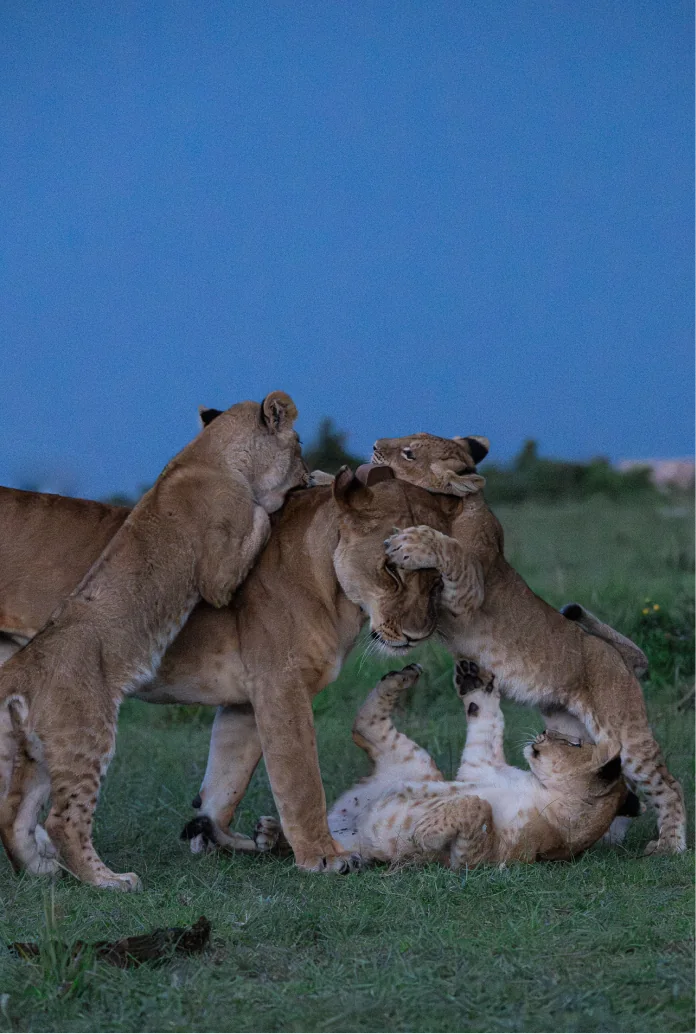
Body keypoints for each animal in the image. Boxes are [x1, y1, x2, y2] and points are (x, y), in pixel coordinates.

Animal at [0, 391, 307, 890]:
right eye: (299, 443)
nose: (309, 470)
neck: (209, 453)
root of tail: (23, 666)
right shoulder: (218, 579)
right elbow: (259, 520)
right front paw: (273, 502)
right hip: (86, 733)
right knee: (63, 821)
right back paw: (111, 881)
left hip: (40, 748)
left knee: (17, 814)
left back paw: (42, 870)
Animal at [0, 464, 461, 883]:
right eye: (390, 569)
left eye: (438, 577)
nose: (418, 635)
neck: (335, 590)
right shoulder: (281, 685)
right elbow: (301, 779)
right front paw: (324, 856)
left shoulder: (245, 702)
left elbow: (225, 783)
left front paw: (218, 835)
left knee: (17, 802)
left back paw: (40, 867)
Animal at [253, 661, 630, 867]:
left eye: (574, 742)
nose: (543, 732)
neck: (538, 788)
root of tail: (340, 823)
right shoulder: (480, 763)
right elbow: (488, 723)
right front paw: (476, 683)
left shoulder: (489, 857)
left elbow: (476, 806)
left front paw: (422, 835)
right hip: (412, 761)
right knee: (363, 724)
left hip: (406, 764)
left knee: (363, 726)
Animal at [372, 432, 686, 855]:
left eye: (408, 453)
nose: (375, 445)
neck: (462, 507)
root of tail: (617, 654)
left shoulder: (468, 593)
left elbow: (452, 550)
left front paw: (410, 542)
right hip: (574, 733)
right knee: (612, 779)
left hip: (625, 729)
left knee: (669, 785)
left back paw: (670, 844)